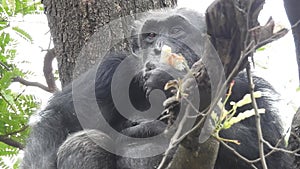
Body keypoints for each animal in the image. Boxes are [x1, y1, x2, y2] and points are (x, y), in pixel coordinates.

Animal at [21, 7, 296, 169]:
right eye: (151, 35)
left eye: (176, 30)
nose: (158, 46)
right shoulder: (108, 72)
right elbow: (61, 119)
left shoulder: (244, 86)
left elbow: (270, 153)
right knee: (85, 141)